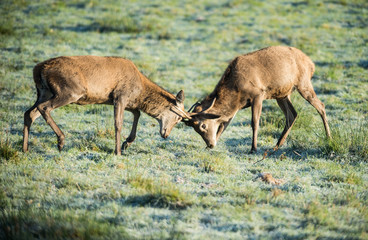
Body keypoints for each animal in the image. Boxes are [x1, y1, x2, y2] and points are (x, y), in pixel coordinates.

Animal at [22, 55, 191, 155]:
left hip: (44, 92)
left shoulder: (122, 100)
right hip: (70, 91)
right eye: (178, 118)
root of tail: (38, 69)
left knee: (29, 113)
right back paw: (61, 141)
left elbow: (137, 113)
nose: (166, 134)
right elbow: (118, 124)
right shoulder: (120, 96)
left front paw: (126, 143)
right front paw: (118, 151)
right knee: (44, 108)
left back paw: (25, 148)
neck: (140, 90)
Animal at [185, 46, 332, 153]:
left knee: (321, 106)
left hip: (303, 84)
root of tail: (311, 64)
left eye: (203, 125)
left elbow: (254, 123)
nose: (210, 144)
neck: (236, 89)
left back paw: (329, 138)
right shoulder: (237, 107)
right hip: (282, 94)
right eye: (195, 129)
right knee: (292, 114)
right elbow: (224, 124)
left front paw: (253, 148)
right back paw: (277, 145)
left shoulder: (258, 95)